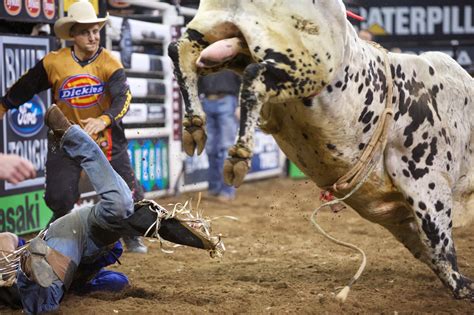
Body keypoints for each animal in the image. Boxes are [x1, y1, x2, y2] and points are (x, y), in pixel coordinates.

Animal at [168, 0, 474, 302]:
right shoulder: (426, 181)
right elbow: (439, 241)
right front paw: (462, 286)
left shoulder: (398, 217)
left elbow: (425, 246)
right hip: (306, 65)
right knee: (254, 76)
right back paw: (238, 155)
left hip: (215, 31)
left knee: (181, 49)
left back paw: (194, 125)